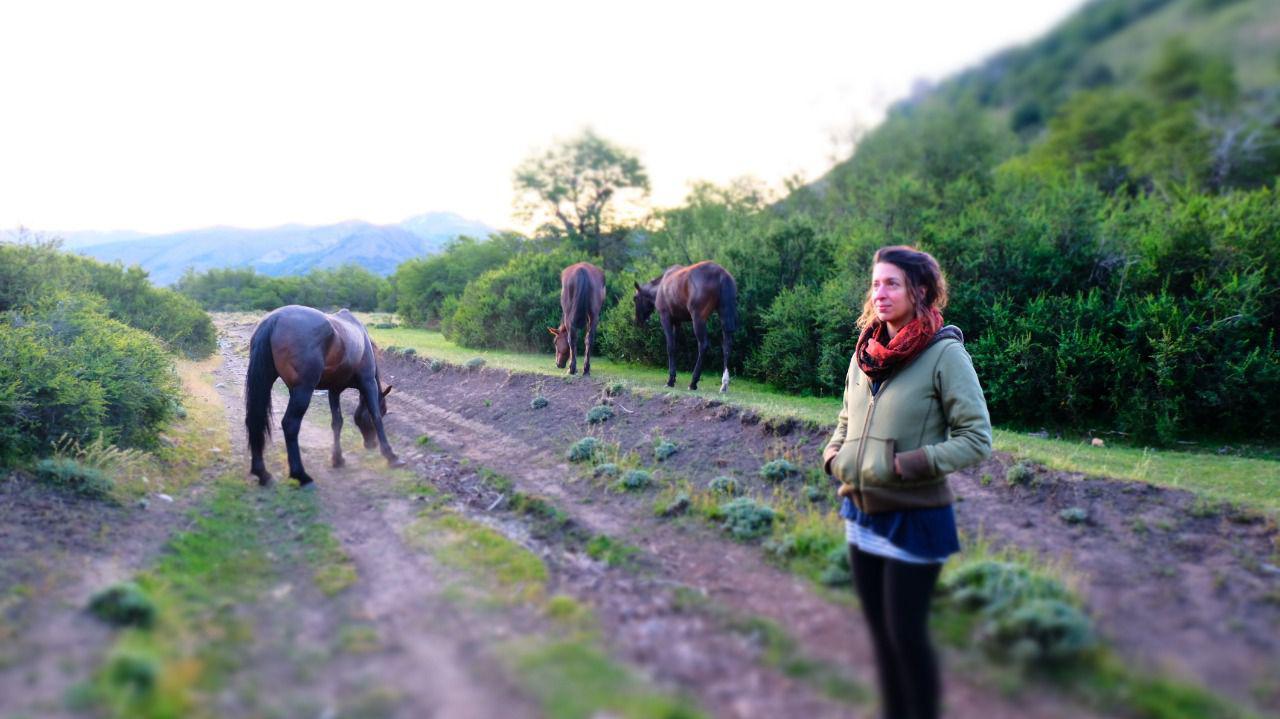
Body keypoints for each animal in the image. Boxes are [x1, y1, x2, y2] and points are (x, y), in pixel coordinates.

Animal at [240, 304, 399, 483]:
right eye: (385, 410)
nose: (370, 444)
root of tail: (274, 319)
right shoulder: (368, 382)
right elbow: (376, 416)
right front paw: (391, 456)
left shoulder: (334, 390)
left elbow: (337, 422)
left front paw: (338, 459)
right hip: (303, 391)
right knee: (290, 424)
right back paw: (300, 475)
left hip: (267, 383)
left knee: (255, 420)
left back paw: (262, 473)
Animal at [632, 258, 737, 388]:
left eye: (635, 298)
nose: (637, 321)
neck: (659, 288)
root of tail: (722, 275)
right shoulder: (678, 321)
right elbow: (676, 346)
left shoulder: (665, 317)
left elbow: (670, 346)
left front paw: (670, 379)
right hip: (725, 315)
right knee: (727, 344)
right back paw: (724, 383)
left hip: (698, 318)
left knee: (703, 345)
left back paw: (693, 382)